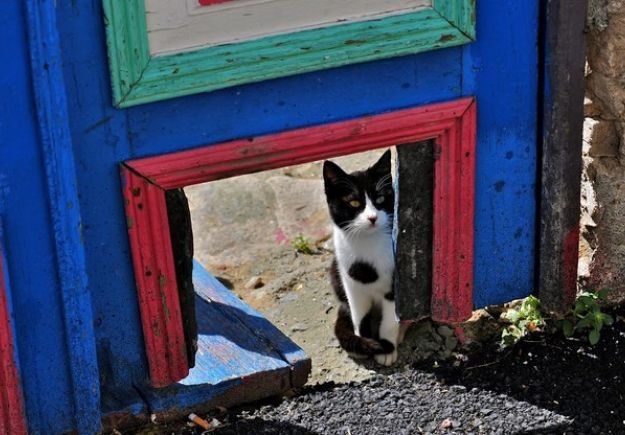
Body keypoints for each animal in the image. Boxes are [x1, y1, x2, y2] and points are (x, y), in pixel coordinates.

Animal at [322, 152, 400, 366]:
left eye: (380, 198)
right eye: (354, 203)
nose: (373, 217)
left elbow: (390, 320)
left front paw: (387, 348)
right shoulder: (352, 285)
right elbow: (359, 317)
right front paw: (366, 344)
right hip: (335, 271)